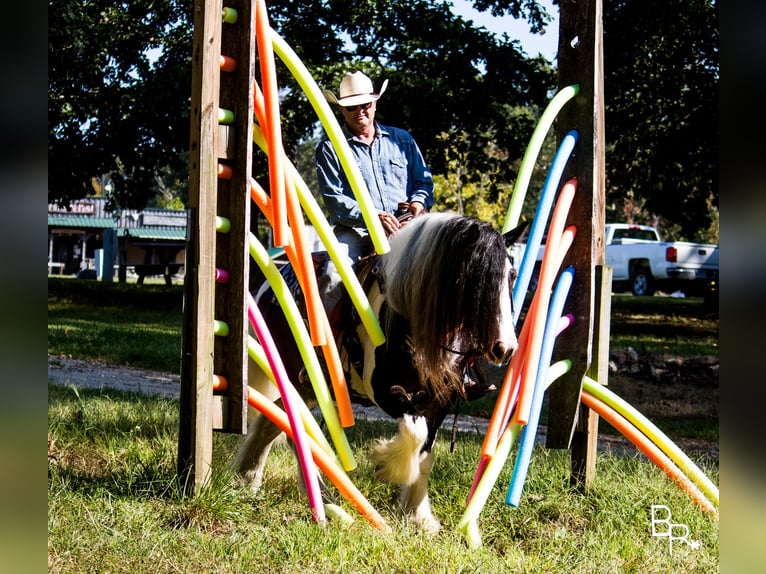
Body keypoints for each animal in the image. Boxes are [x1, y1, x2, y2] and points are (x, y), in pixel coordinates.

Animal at [231, 214, 524, 532]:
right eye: (476, 278)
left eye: (512, 274)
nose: (505, 348)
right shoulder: (386, 392)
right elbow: (415, 432)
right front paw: (388, 467)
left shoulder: (439, 402)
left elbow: (425, 452)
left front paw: (418, 516)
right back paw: (323, 497)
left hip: (309, 389)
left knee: (275, 421)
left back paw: (248, 479)